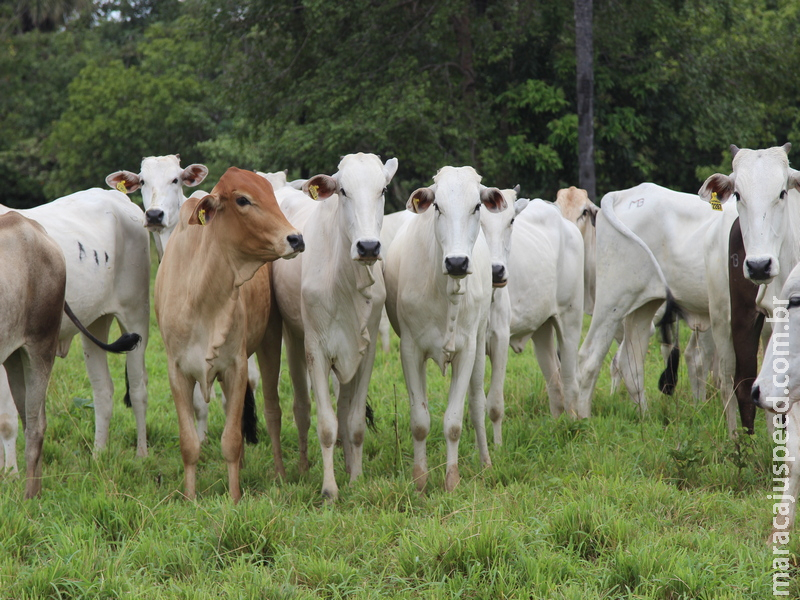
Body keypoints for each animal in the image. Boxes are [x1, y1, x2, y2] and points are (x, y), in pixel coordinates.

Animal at [0, 190, 152, 458]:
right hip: (95, 324)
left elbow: (7, 422)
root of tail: (116, 196)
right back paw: (98, 455)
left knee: (137, 388)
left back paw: (141, 454)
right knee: (103, 390)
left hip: (136, 315)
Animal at [155, 166, 304, 504]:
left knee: (271, 411)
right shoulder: (177, 371)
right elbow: (189, 442)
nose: (296, 238)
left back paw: (279, 473)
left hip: (269, 340)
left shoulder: (236, 366)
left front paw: (235, 498)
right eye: (243, 200)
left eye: (271, 195)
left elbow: (232, 439)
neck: (201, 295)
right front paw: (190, 497)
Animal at [274, 152, 398, 500]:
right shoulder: (316, 348)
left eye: (383, 190)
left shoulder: (364, 351)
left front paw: (355, 478)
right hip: (291, 336)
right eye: (343, 191)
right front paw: (329, 489)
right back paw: (303, 468)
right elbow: (327, 425)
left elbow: (352, 421)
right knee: (302, 408)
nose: (368, 247)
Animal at [384, 165, 504, 492]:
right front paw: (420, 480)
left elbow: (453, 422)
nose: (457, 262)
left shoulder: (467, 351)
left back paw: (486, 462)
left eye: (476, 207)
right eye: (437, 206)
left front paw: (452, 479)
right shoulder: (410, 350)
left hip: (480, 343)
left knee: (477, 404)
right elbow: (420, 421)